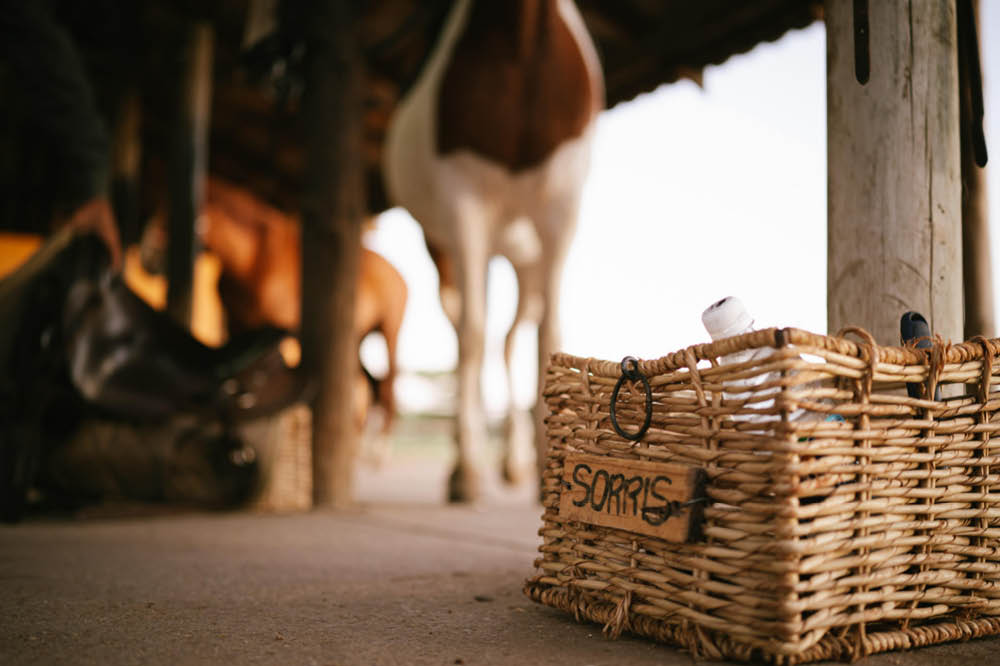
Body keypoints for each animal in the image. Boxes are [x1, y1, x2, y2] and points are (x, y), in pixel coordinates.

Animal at [382, 0, 600, 498]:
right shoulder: (463, 201)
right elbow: (473, 334)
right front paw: (466, 471)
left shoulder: (562, 208)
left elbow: (549, 336)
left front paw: (547, 468)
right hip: (448, 245)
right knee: (471, 329)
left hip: (526, 258)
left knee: (513, 336)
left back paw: (518, 461)